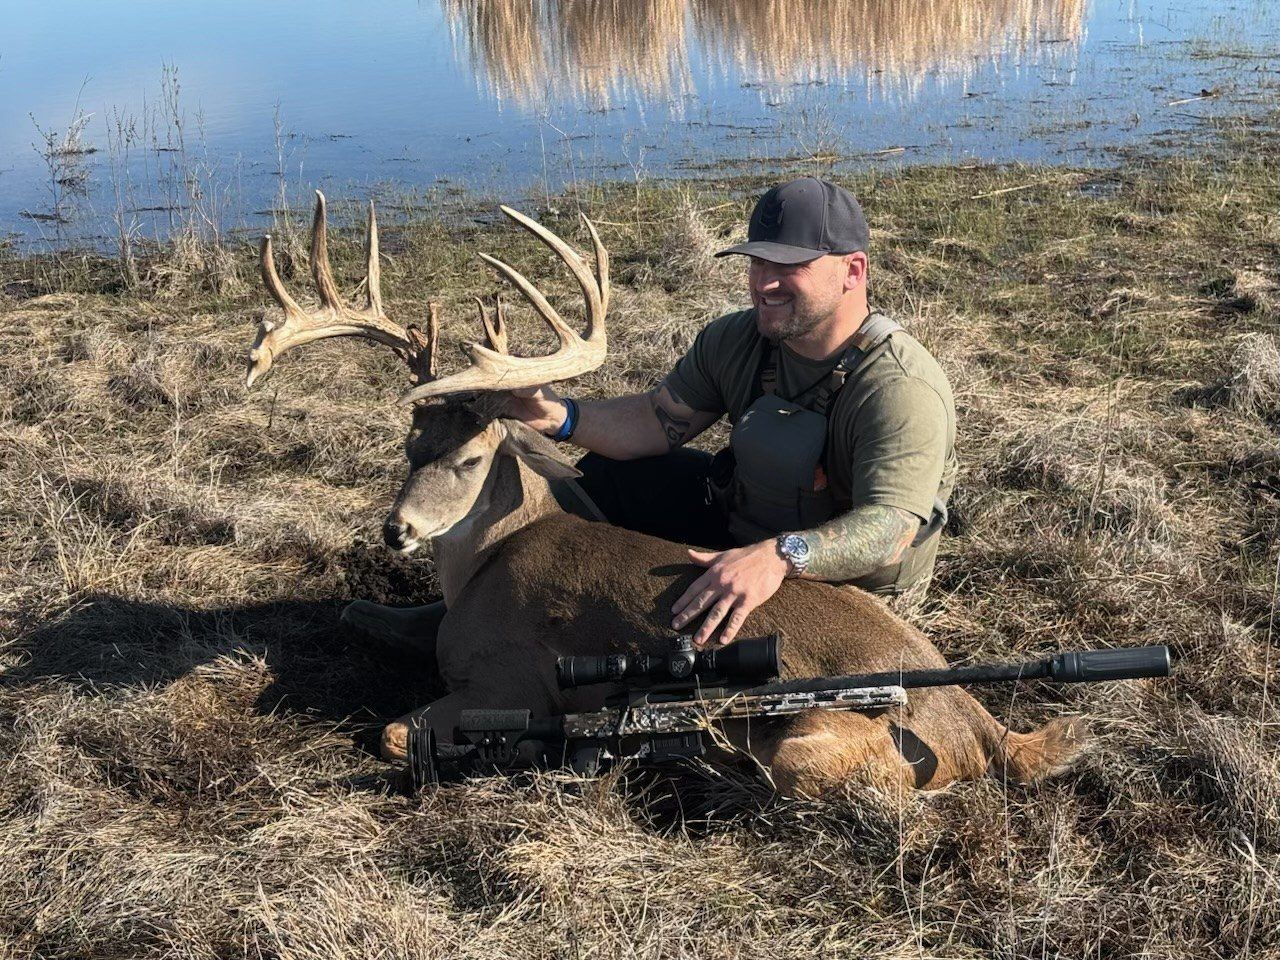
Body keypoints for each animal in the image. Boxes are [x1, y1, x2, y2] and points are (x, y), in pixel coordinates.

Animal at [244, 192, 1085, 796]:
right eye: (409, 442)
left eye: (473, 454)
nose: (398, 530)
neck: (485, 560)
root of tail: (983, 729)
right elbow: (360, 614)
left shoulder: (513, 681)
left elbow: (392, 732)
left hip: (814, 751)